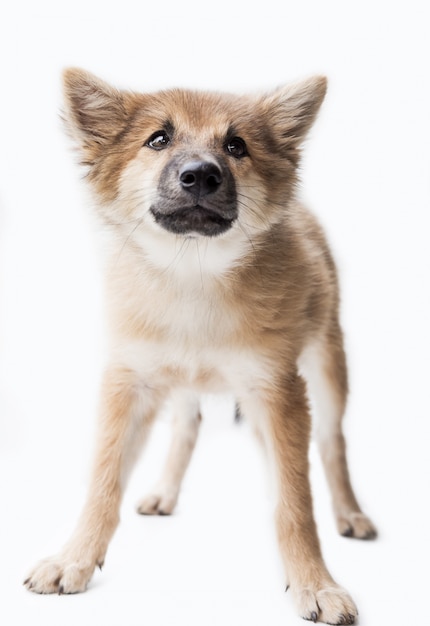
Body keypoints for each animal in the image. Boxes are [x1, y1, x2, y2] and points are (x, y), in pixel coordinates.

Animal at [23, 68, 374, 620]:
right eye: (157, 139)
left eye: (236, 146)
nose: (201, 175)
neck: (193, 274)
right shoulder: (129, 383)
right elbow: (103, 481)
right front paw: (74, 558)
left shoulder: (277, 390)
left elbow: (296, 502)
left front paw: (314, 583)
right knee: (187, 426)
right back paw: (164, 492)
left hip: (327, 366)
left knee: (331, 443)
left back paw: (349, 511)